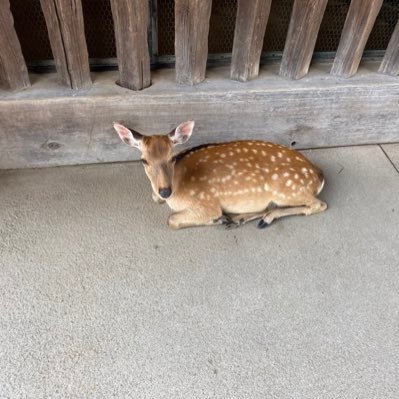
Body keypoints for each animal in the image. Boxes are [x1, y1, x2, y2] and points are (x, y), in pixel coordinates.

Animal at [113, 120, 328, 230]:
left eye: (172, 157)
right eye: (144, 160)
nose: (165, 191)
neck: (179, 185)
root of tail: (319, 174)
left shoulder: (207, 203)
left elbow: (171, 220)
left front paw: (218, 219)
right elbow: (155, 198)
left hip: (287, 189)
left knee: (319, 205)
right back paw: (241, 219)